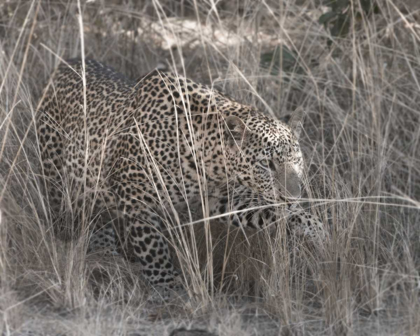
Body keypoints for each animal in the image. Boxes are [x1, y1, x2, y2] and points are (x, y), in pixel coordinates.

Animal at [37, 58, 326, 300]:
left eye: (296, 160)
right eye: (267, 164)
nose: (292, 196)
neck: (209, 160)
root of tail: (64, 63)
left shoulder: (222, 199)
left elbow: (275, 212)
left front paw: (318, 233)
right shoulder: (136, 195)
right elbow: (152, 245)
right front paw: (168, 285)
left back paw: (105, 252)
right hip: (56, 172)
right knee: (66, 211)